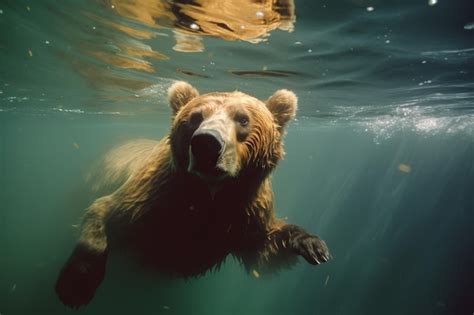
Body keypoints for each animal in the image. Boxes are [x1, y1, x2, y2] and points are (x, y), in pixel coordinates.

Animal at [55, 81, 330, 308]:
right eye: (196, 117)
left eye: (242, 119)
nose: (207, 143)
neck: (208, 196)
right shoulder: (151, 199)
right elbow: (104, 211)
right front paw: (75, 286)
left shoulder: (244, 216)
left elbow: (263, 248)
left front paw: (313, 245)